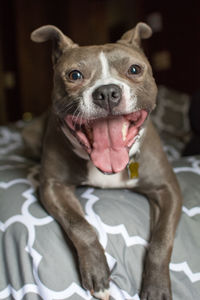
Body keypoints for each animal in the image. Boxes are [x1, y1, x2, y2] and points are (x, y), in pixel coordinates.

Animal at [27, 22, 183, 298]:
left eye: (134, 69)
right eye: (75, 75)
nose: (108, 92)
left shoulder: (169, 190)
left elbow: (162, 239)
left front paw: (156, 286)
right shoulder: (53, 187)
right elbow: (80, 226)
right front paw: (97, 272)